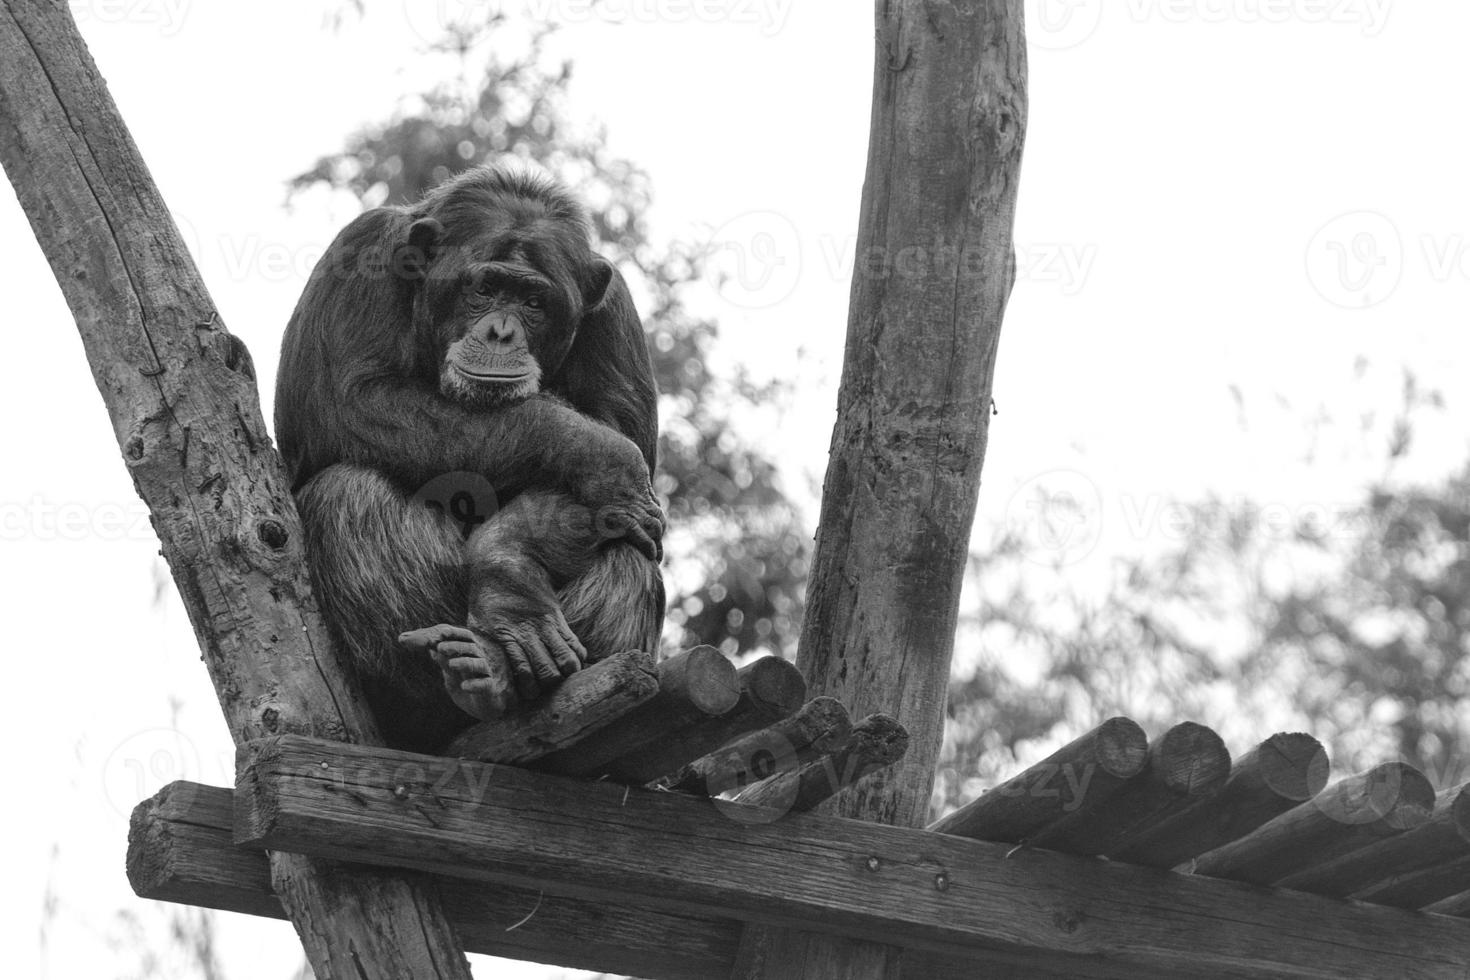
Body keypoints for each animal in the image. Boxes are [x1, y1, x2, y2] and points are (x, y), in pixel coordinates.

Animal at [276, 166, 667, 752]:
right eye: (484, 289)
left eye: (533, 302)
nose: (501, 332)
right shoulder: (359, 252)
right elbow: (346, 399)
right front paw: (595, 452)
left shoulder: (616, 314)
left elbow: (625, 475)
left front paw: (507, 574)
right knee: (348, 494)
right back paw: (467, 681)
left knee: (628, 554)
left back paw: (498, 674)